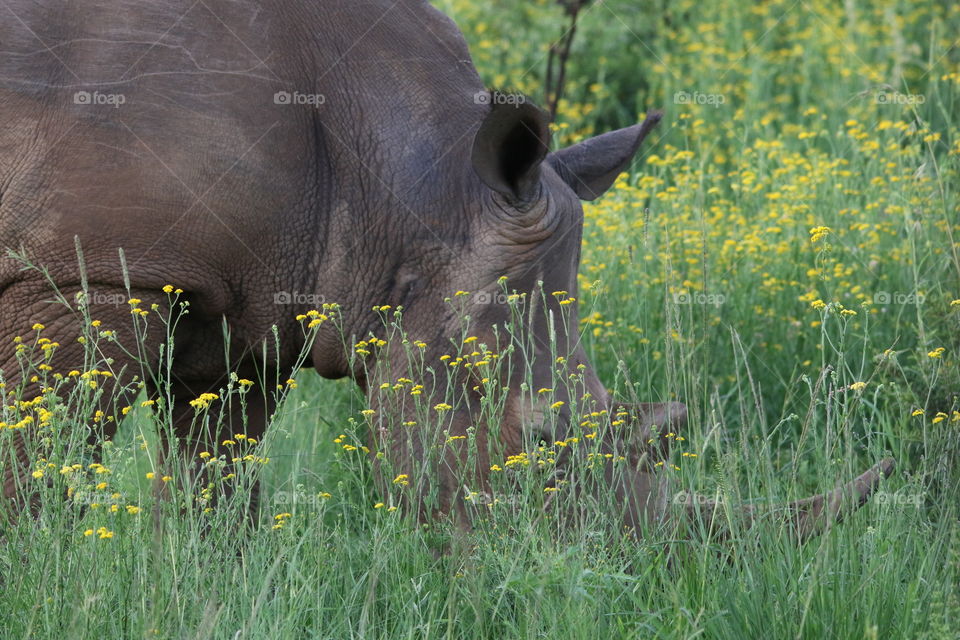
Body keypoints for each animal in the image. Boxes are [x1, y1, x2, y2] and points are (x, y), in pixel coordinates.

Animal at [0, 0, 892, 536]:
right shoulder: (90, 272)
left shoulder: (251, 314)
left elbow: (214, 491)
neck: (417, 187)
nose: (609, 577)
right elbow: (33, 468)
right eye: (537, 443)